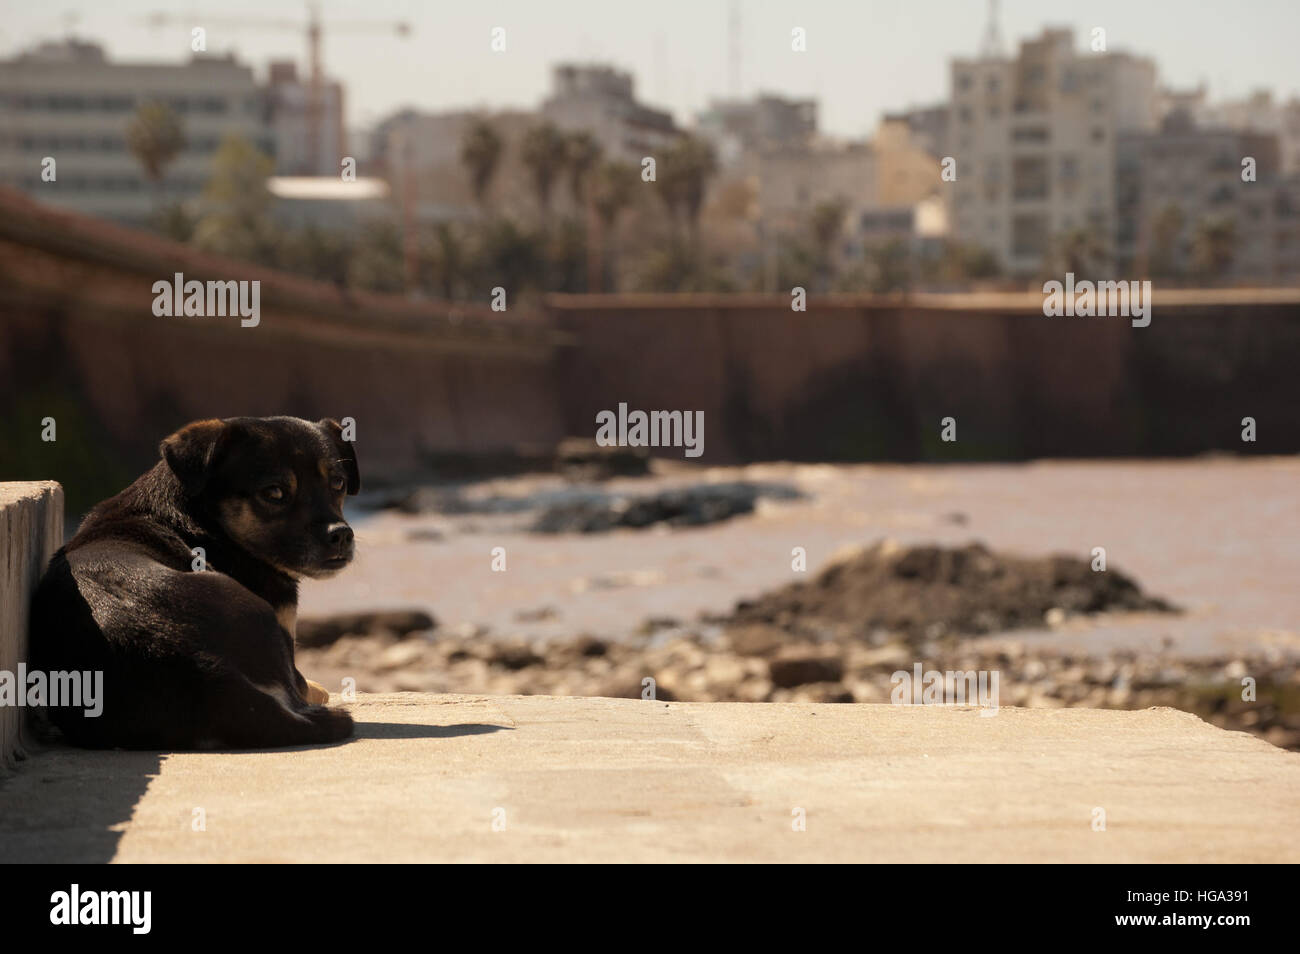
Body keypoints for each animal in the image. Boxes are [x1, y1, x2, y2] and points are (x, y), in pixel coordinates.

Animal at [27, 415, 361, 748]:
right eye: (274, 492)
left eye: (338, 483)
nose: (341, 535)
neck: (200, 519)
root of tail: (202, 667)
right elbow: (314, 687)